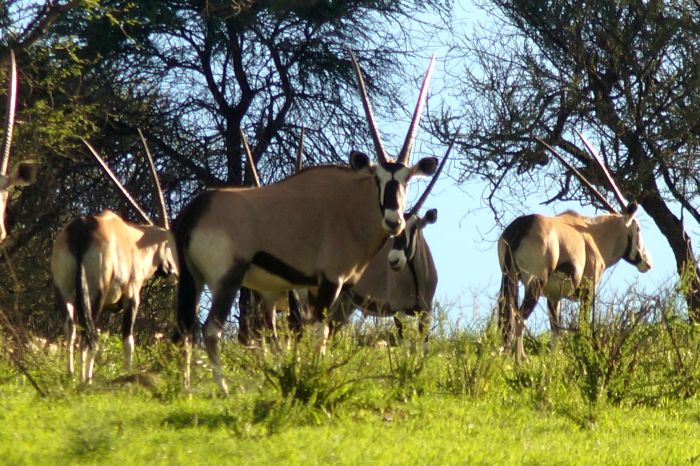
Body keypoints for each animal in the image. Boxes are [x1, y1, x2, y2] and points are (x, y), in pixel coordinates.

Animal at [52, 136, 178, 382]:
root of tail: (80, 231)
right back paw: (86, 379)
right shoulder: (132, 296)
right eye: (170, 243)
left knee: (71, 329)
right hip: (96, 291)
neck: (135, 241)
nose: (174, 273)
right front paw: (128, 374)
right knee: (89, 334)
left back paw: (71, 375)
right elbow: (128, 339)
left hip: (66, 292)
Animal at [174, 50, 438, 394]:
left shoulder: (313, 286)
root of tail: (195, 211)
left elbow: (314, 334)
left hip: (192, 278)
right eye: (377, 178)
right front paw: (314, 378)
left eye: (406, 180)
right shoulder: (330, 282)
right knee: (211, 330)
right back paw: (223, 389)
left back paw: (186, 388)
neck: (349, 206)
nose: (394, 221)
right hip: (226, 280)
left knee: (185, 329)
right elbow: (319, 334)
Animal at [498, 131, 652, 360]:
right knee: (518, 316)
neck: (592, 234)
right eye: (638, 228)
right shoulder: (588, 291)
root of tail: (521, 227)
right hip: (535, 281)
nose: (647, 262)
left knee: (505, 314)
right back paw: (520, 358)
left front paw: (554, 362)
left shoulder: (553, 297)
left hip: (509, 278)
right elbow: (583, 326)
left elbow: (556, 333)